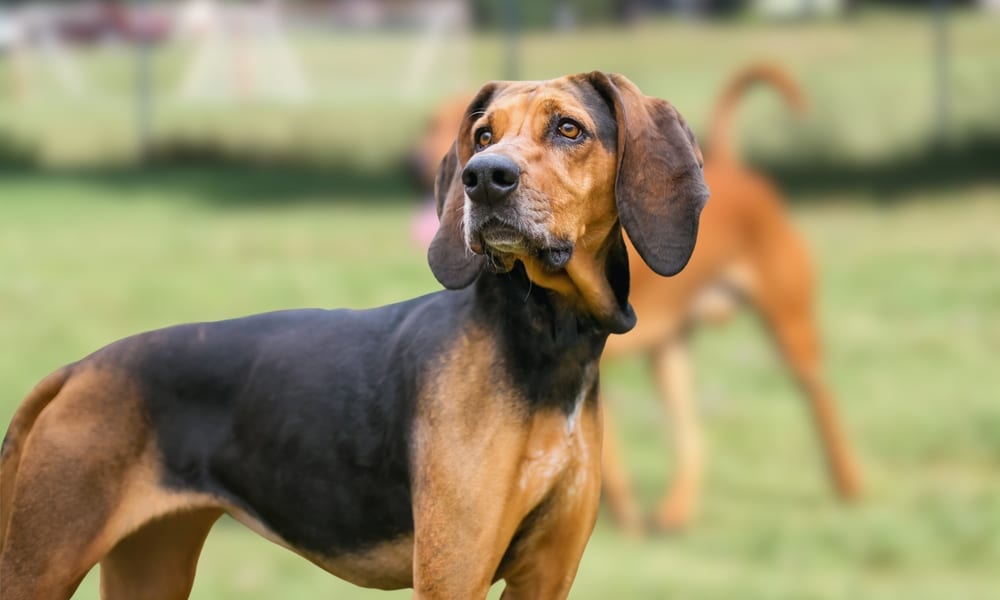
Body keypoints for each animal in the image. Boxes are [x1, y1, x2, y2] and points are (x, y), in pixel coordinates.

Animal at [0, 72, 708, 596]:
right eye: (483, 134)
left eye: (569, 129)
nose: (483, 177)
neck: (547, 341)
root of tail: (79, 369)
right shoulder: (453, 575)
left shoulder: (547, 576)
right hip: (43, 561)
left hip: (152, 561)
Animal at [410, 67, 864, 536]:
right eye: (482, 135)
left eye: (568, 128)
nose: (480, 177)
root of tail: (732, 164)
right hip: (670, 353)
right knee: (691, 435)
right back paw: (675, 511)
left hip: (790, 324)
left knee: (821, 397)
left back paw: (849, 483)